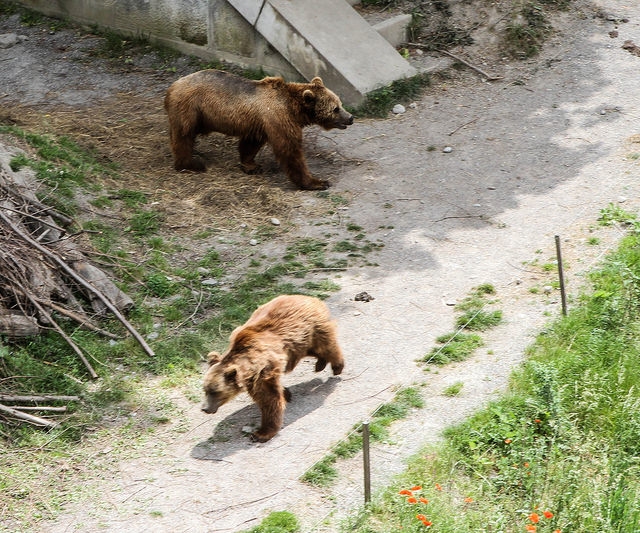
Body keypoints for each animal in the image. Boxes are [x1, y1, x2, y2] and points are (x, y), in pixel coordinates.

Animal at [164, 68, 356, 189]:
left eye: (340, 103)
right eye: (335, 109)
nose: (350, 118)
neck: (295, 109)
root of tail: (172, 86)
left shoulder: (258, 124)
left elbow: (250, 144)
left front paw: (252, 165)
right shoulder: (278, 118)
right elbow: (290, 150)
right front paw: (318, 182)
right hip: (190, 108)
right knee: (183, 136)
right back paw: (191, 164)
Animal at [204, 296, 344, 440]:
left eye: (215, 391)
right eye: (205, 390)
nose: (205, 408)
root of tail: (311, 298)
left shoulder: (264, 370)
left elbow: (269, 399)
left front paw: (262, 432)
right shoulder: (255, 377)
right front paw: (287, 394)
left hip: (312, 330)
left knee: (326, 346)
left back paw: (337, 366)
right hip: (299, 344)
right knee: (315, 351)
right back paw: (320, 364)